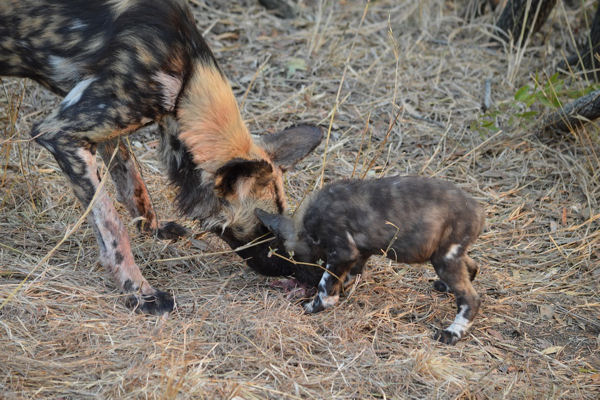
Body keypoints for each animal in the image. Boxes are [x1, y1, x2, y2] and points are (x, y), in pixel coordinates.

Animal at [1, 0, 324, 314]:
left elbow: (134, 185)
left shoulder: (105, 126)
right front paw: (141, 293)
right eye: (264, 228)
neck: (187, 79)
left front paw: (153, 229)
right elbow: (112, 226)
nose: (294, 269)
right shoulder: (60, 133)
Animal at [255, 177, 486, 346]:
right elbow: (345, 278)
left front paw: (315, 305)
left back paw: (452, 333)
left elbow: (325, 286)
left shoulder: (343, 252)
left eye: (293, 263)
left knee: (471, 298)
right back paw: (445, 288)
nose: (303, 281)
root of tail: (478, 209)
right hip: (448, 255)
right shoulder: (358, 255)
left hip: (444, 259)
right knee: (473, 267)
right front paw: (339, 292)